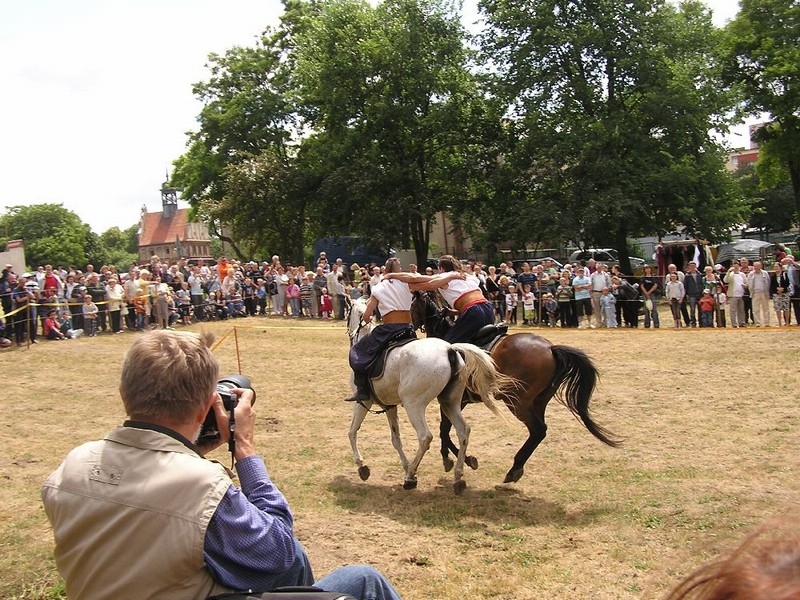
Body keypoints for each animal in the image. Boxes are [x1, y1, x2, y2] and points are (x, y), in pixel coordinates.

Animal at [348, 298, 504, 494]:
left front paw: (362, 466)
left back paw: (410, 478)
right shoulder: (389, 406)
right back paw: (458, 477)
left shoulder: (363, 401)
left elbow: (352, 431)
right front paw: (406, 466)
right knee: (463, 431)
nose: (350, 333)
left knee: (425, 437)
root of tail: (449, 349)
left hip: (413, 404)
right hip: (450, 403)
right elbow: (396, 439)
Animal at [410, 292, 620, 486]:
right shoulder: (458, 402)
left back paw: (514, 468)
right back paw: (516, 468)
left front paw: (456, 458)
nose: (411, 328)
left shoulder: (452, 400)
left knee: (538, 430)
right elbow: (445, 428)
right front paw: (460, 458)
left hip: (517, 402)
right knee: (540, 431)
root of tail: (551, 349)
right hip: (538, 401)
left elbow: (444, 429)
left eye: (411, 307)